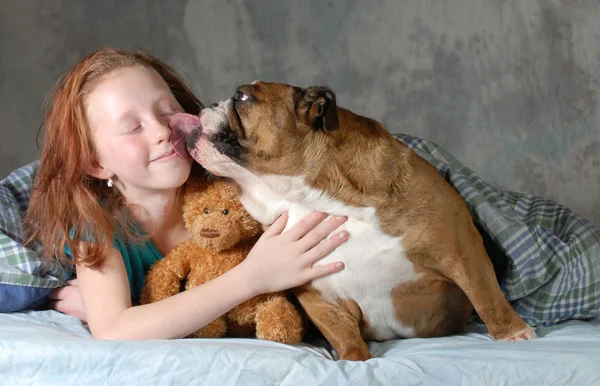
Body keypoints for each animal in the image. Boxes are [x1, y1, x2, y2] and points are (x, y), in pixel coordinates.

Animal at [168, 82, 536, 362]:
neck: (311, 199)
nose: (206, 104)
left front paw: (512, 333)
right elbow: (343, 334)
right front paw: (354, 360)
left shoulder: (460, 247)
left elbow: (485, 293)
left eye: (243, 96)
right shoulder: (319, 295)